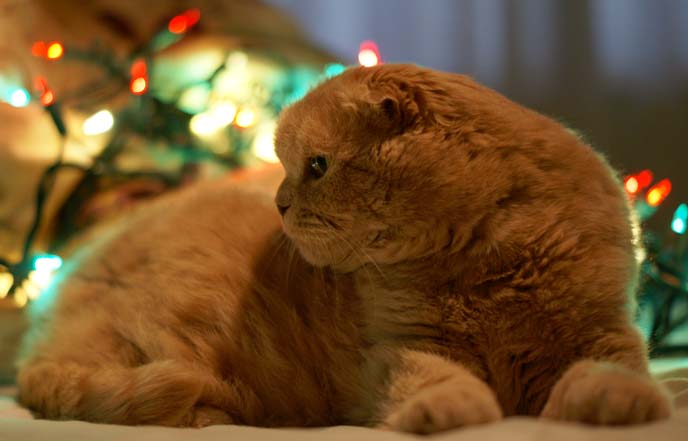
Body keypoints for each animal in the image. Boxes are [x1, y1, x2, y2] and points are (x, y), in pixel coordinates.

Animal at [14, 63, 672, 432]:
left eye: (316, 166)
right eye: (285, 166)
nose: (279, 203)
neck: (484, 262)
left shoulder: (603, 329)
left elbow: (610, 370)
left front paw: (614, 403)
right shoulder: (406, 348)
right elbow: (439, 383)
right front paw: (444, 414)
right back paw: (210, 415)